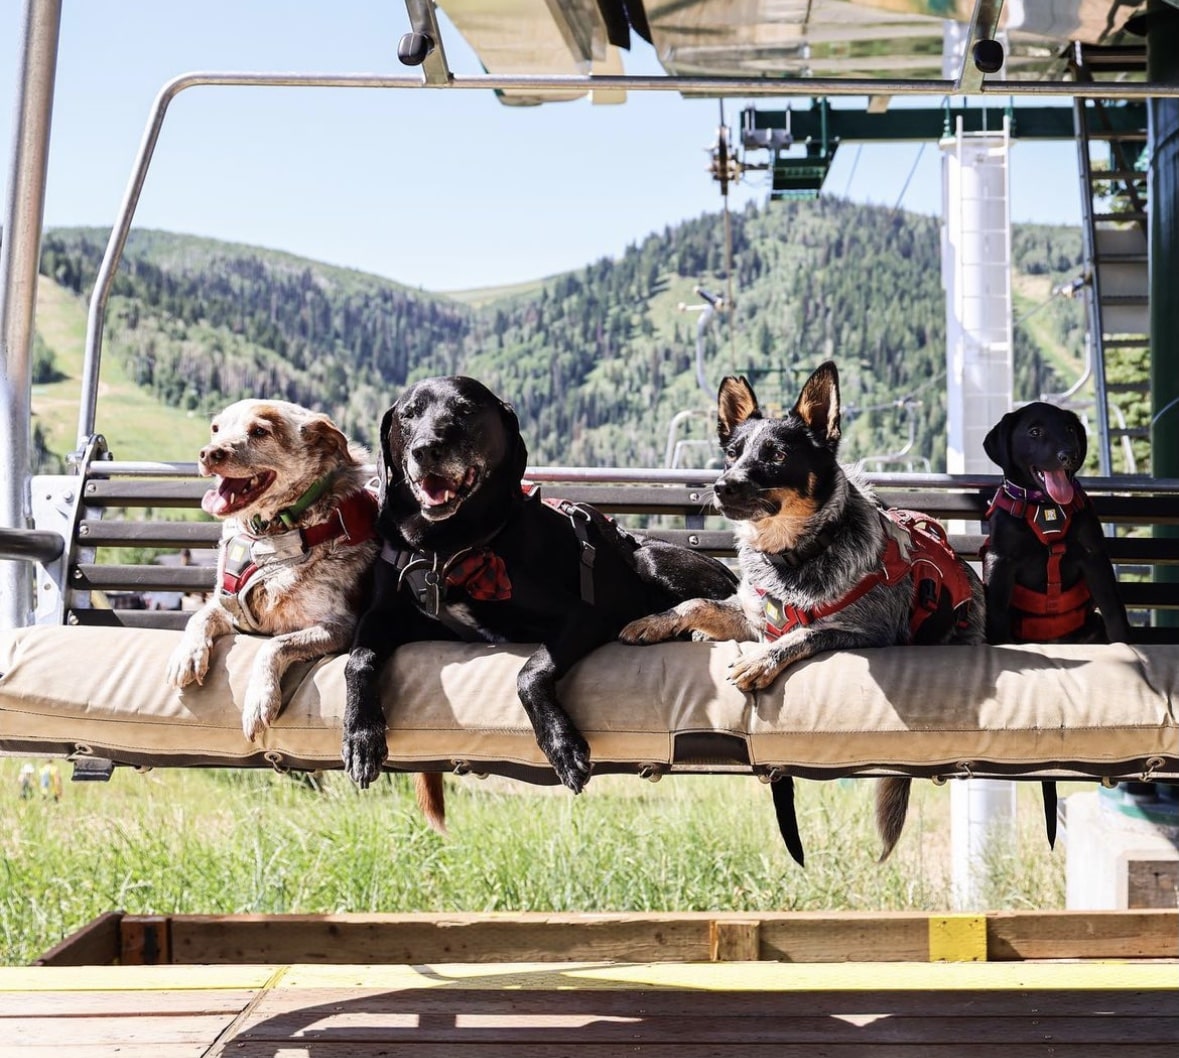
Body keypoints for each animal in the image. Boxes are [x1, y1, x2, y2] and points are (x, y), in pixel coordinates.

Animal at [337, 375, 735, 787]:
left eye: (466, 410)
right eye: (409, 414)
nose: (426, 449)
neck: (444, 549)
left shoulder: (583, 616)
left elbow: (531, 670)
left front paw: (561, 743)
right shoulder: (382, 616)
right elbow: (358, 659)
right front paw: (360, 735)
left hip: (648, 559)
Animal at [980, 401, 1127, 844]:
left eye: (1070, 429)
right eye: (1034, 431)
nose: (1068, 455)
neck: (1045, 507)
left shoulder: (1095, 558)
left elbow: (1117, 613)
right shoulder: (1000, 564)